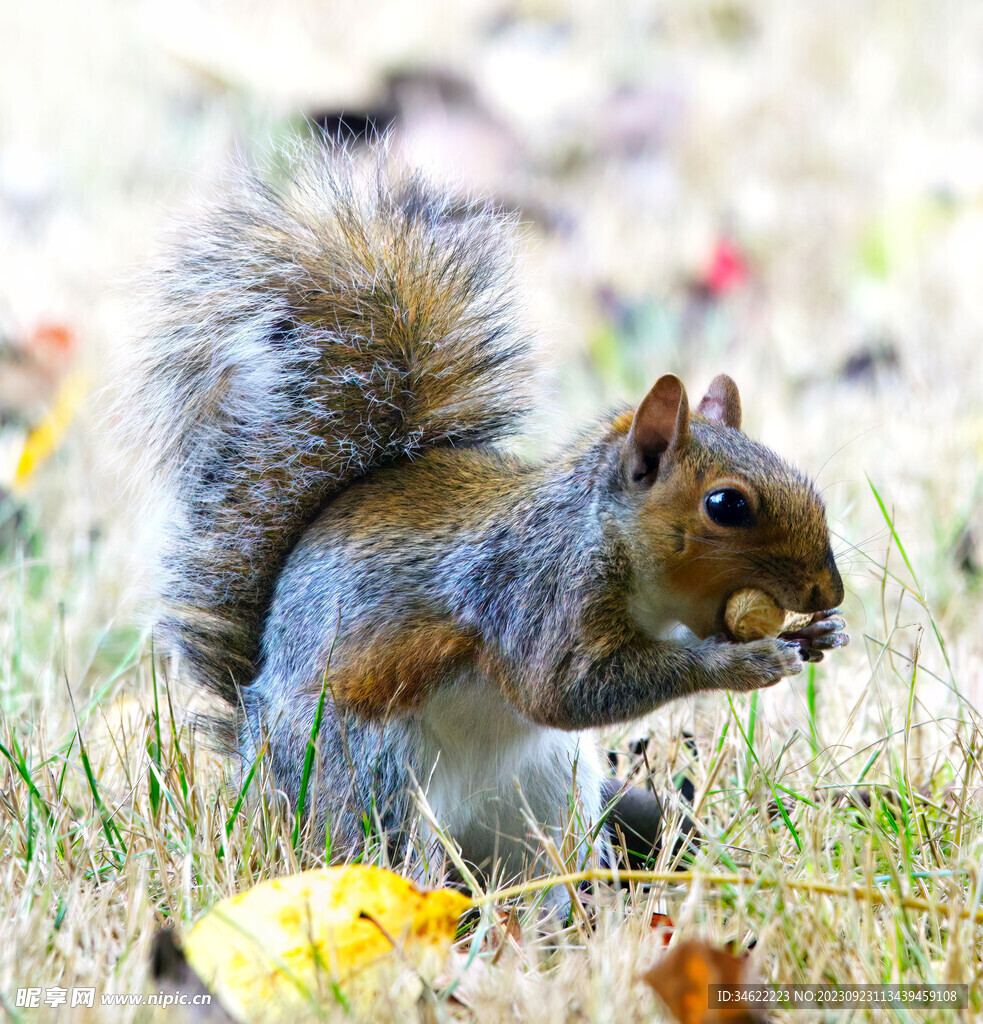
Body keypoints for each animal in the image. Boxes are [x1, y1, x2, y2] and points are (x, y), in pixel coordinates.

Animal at [124, 140, 843, 892]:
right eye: (726, 505)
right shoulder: (533, 595)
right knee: (390, 849)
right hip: (373, 781)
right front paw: (741, 662)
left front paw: (819, 634)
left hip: (547, 794)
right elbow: (563, 690)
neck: (606, 541)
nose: (829, 590)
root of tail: (259, 751)